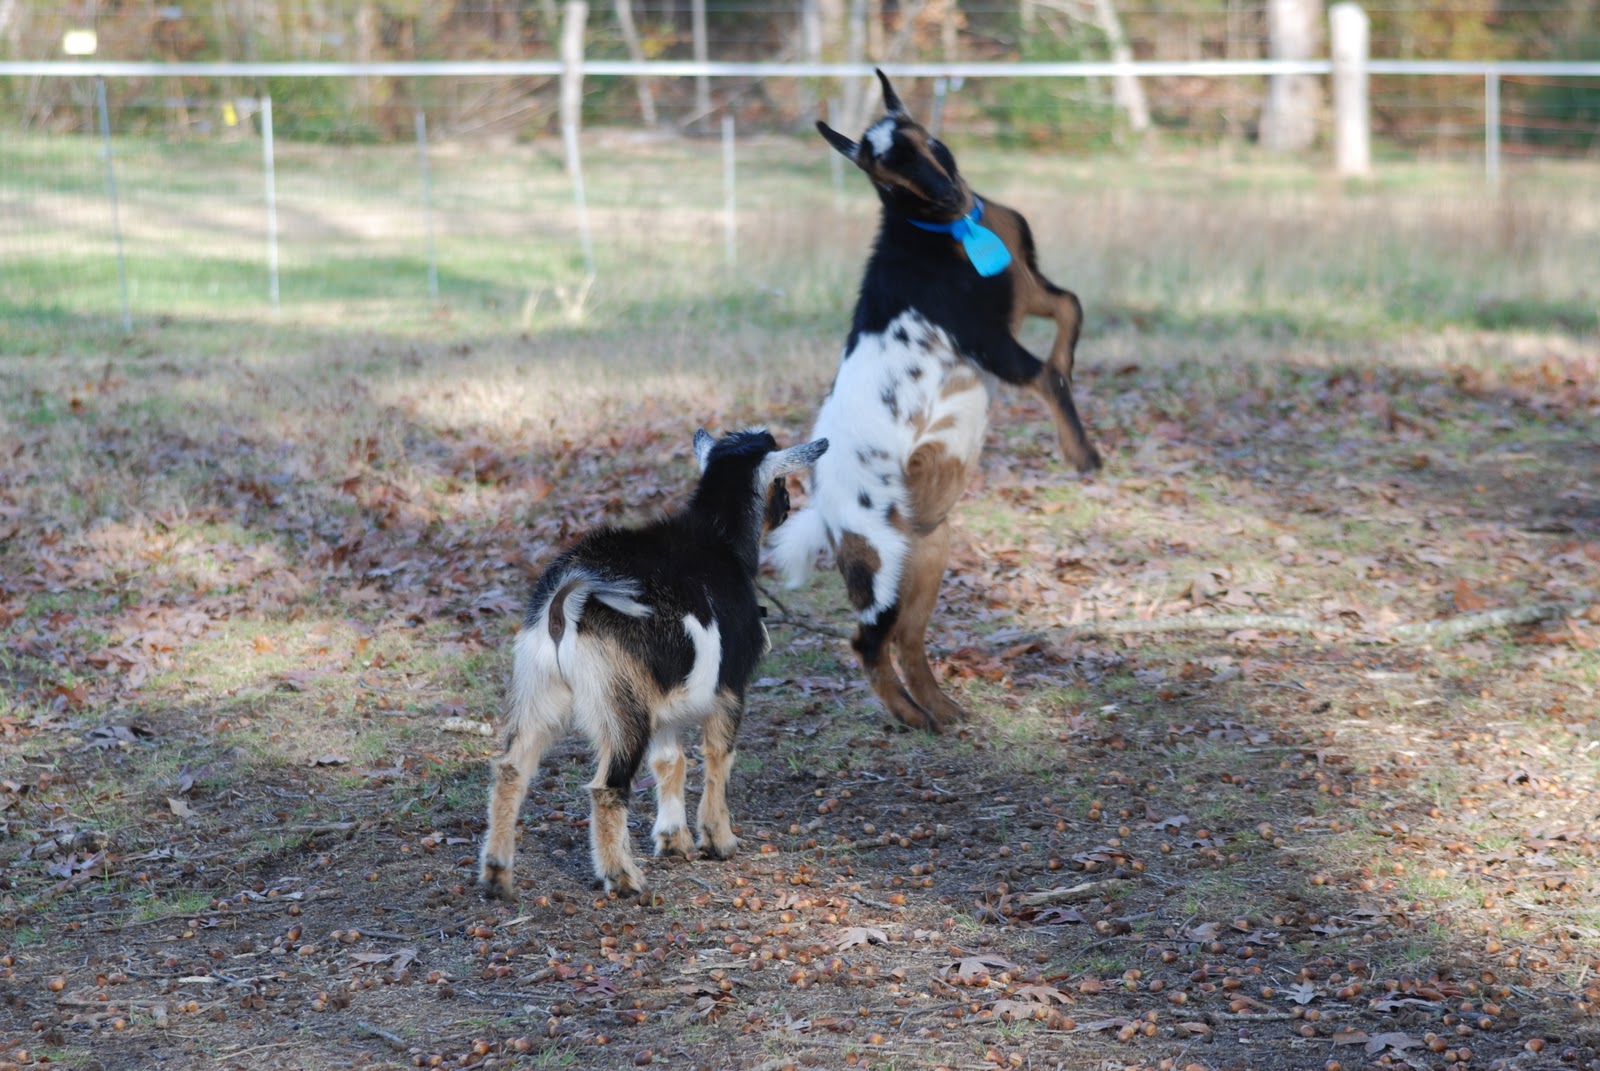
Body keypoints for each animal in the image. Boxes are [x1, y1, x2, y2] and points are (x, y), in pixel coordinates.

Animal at [479, 428, 828, 900]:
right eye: (783, 483)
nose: (788, 508)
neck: (719, 538)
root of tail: (567, 596)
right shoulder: (729, 689)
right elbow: (718, 758)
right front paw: (718, 840)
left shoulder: (667, 697)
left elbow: (669, 761)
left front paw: (673, 841)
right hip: (620, 703)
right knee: (607, 788)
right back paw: (623, 877)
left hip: (538, 685)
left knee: (512, 768)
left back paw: (497, 873)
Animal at [767, 71, 1094, 734]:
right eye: (881, 169)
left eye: (923, 139)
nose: (946, 195)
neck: (945, 234)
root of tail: (824, 503)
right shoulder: (985, 335)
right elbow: (1046, 375)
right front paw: (1081, 454)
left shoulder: (1023, 290)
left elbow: (1070, 306)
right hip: (882, 561)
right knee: (868, 641)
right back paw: (913, 718)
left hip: (928, 554)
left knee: (907, 640)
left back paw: (945, 710)